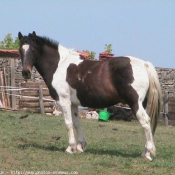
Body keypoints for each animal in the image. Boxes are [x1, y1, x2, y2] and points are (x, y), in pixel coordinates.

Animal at [18, 31, 162, 161]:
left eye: (33, 50)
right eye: (20, 50)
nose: (25, 73)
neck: (59, 65)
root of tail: (144, 64)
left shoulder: (64, 101)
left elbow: (68, 123)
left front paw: (70, 148)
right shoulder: (73, 103)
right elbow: (77, 123)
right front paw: (80, 146)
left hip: (135, 103)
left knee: (145, 122)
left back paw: (148, 154)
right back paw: (146, 152)